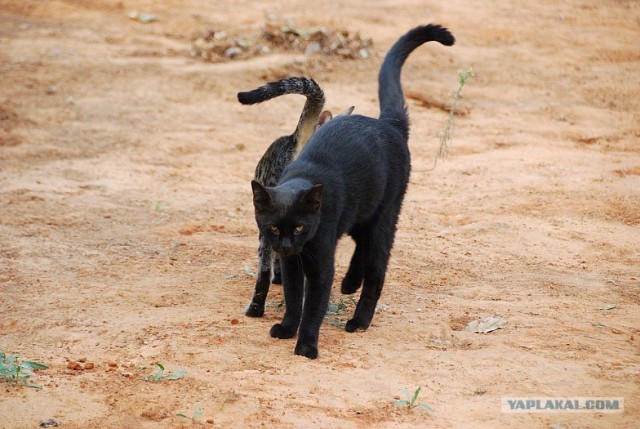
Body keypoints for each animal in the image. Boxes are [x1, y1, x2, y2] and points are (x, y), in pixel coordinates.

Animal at [250, 23, 456, 358]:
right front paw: (287, 328)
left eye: (300, 227)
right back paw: (349, 284)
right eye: (275, 227)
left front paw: (306, 345)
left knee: (376, 270)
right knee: (362, 247)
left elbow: (313, 306)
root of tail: (389, 124)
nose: (288, 245)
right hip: (363, 213)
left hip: (386, 218)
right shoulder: (291, 260)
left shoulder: (320, 261)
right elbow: (294, 297)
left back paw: (359, 319)